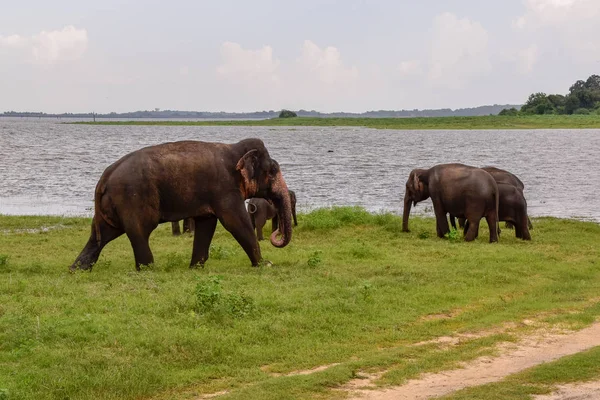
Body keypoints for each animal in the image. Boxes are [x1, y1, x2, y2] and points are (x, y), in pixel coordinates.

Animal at [69, 138, 292, 272]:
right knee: (139, 230)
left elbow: (207, 223)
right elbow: (236, 222)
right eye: (273, 170)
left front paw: (195, 268)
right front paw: (265, 265)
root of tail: (105, 177)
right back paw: (149, 269)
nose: (276, 235)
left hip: (111, 206)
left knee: (102, 234)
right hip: (132, 198)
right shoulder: (225, 189)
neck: (234, 150)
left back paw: (77, 270)